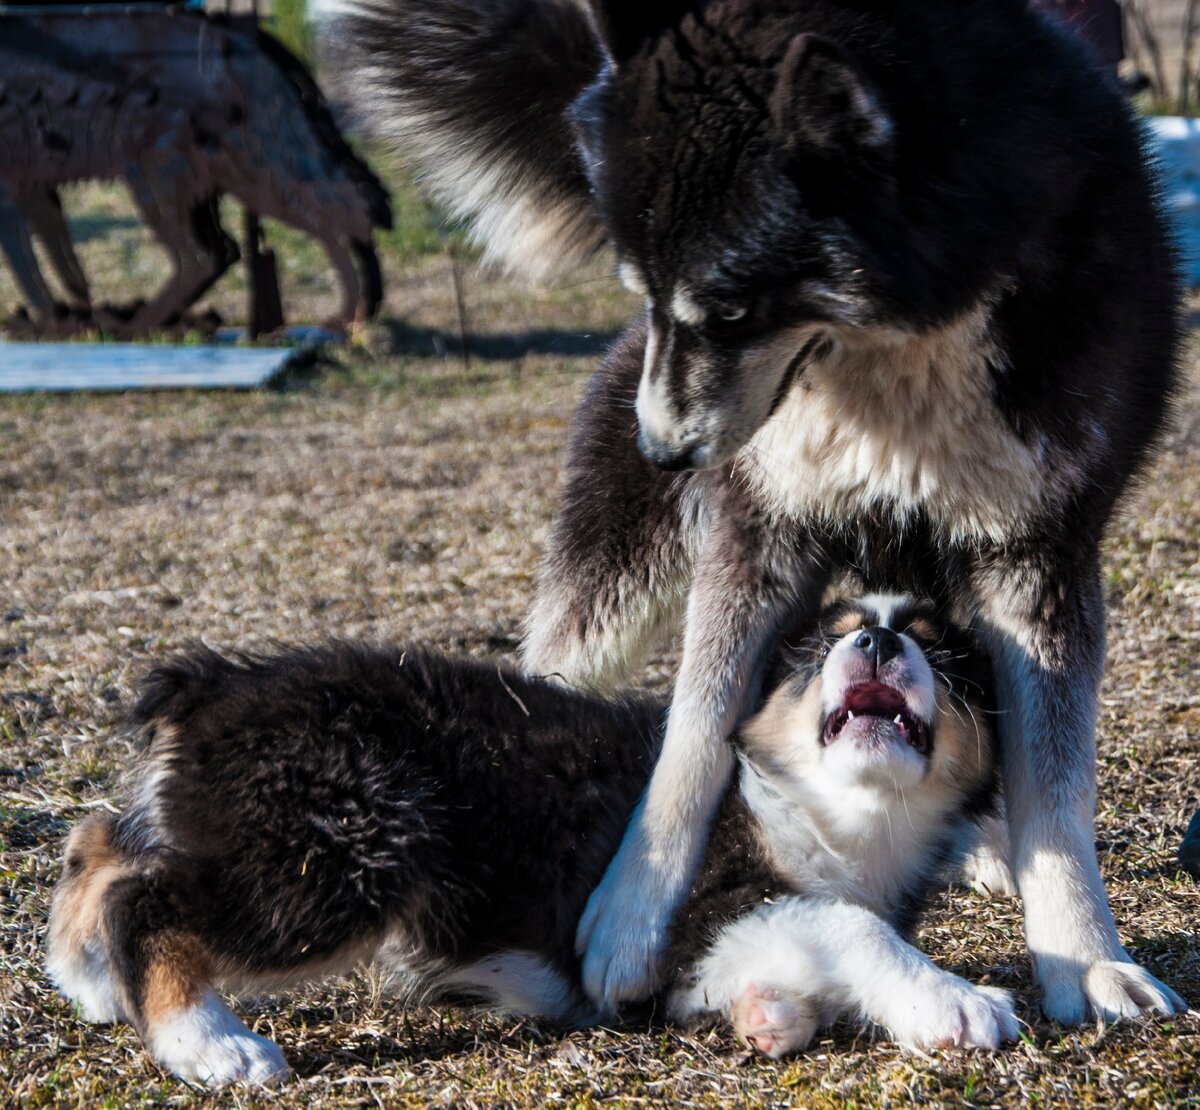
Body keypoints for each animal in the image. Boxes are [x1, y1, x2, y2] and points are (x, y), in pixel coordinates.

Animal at [46, 592, 1012, 1084]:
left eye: (938, 648)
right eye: (822, 643)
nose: (877, 638)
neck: (838, 809)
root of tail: (213, 687)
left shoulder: (690, 962)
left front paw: (771, 1018)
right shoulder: (702, 907)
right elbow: (850, 923)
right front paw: (956, 1002)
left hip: (249, 824)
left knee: (103, 842)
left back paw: (89, 977)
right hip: (349, 842)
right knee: (148, 895)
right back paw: (208, 1044)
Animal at [333, 0, 1185, 1022]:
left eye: (733, 308)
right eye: (643, 291)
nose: (660, 451)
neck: (896, 351)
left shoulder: (1038, 559)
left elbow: (1054, 791)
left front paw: (1086, 956)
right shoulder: (756, 538)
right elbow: (694, 738)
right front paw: (633, 911)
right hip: (610, 589)